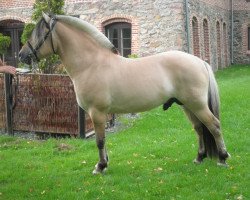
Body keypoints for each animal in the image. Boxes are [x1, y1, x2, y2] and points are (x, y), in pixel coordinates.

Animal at [19, 13, 230, 174]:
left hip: (197, 105)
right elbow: (103, 140)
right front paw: (105, 163)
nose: (21, 55)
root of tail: (199, 61)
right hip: (187, 105)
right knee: (200, 128)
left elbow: (99, 141)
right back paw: (199, 158)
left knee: (214, 126)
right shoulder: (100, 115)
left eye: (39, 33)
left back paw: (222, 158)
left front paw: (100, 166)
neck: (91, 64)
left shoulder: (97, 112)